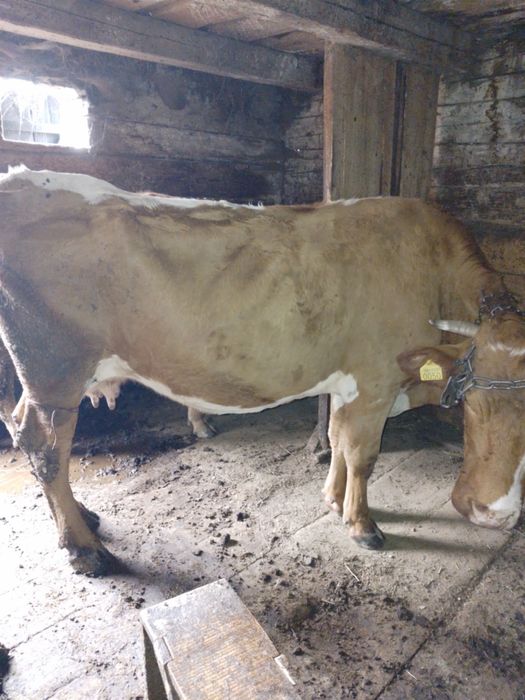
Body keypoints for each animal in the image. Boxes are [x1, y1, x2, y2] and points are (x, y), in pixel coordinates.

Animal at [0, 166, 523, 577]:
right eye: (474, 406)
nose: (493, 515)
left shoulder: (348, 381)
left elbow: (336, 438)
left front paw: (333, 499)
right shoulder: (375, 380)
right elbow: (362, 454)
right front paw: (361, 524)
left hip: (45, 377)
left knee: (26, 429)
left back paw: (84, 518)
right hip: (56, 368)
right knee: (45, 446)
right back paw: (83, 548)